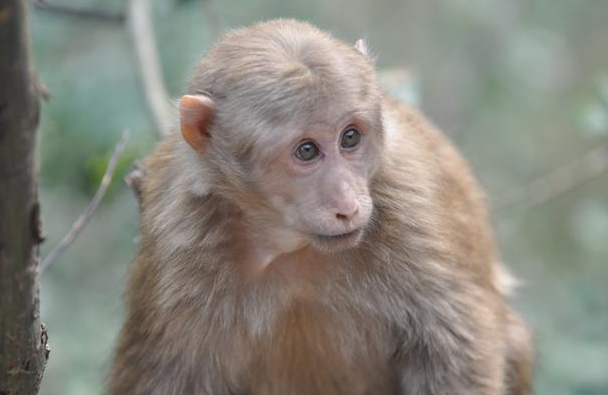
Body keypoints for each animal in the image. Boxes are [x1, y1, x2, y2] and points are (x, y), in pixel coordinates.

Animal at [108, 19, 532, 395]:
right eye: (307, 151)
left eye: (350, 138)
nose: (348, 204)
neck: (287, 244)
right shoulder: (178, 240)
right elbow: (165, 377)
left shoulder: (408, 203)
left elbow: (456, 347)